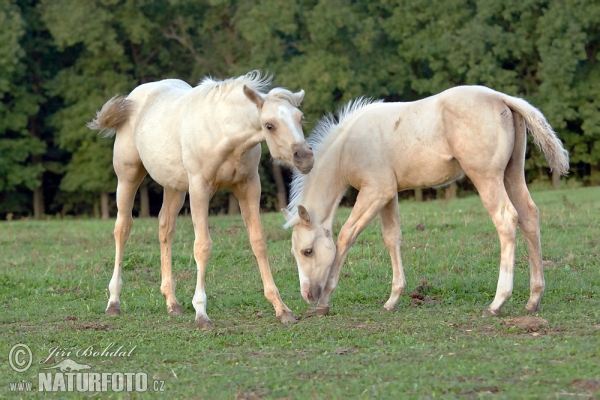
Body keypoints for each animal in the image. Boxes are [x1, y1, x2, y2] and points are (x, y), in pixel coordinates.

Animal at [89, 71, 314, 328]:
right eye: (270, 125)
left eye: (300, 117)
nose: (305, 158)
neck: (223, 131)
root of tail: (134, 97)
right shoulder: (199, 188)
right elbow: (203, 246)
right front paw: (201, 313)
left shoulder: (248, 186)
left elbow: (258, 242)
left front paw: (281, 308)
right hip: (128, 176)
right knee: (123, 228)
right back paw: (113, 302)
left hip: (174, 187)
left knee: (165, 229)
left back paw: (172, 303)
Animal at [284, 86, 568, 318]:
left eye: (307, 251)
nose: (308, 295)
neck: (347, 147)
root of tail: (501, 98)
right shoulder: (388, 194)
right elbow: (392, 237)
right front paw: (393, 299)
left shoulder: (375, 191)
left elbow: (346, 235)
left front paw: (325, 302)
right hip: (512, 172)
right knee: (529, 216)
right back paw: (533, 299)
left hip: (487, 177)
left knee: (506, 219)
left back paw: (497, 303)